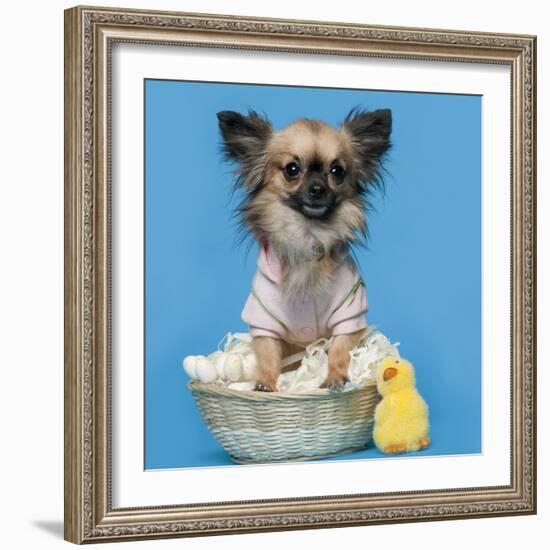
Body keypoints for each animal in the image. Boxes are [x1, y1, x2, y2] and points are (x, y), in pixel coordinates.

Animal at [218, 108, 394, 392]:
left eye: (337, 171)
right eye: (292, 169)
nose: (317, 189)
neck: (308, 234)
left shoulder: (350, 315)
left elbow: (339, 350)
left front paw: (334, 377)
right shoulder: (263, 321)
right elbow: (268, 354)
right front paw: (266, 383)